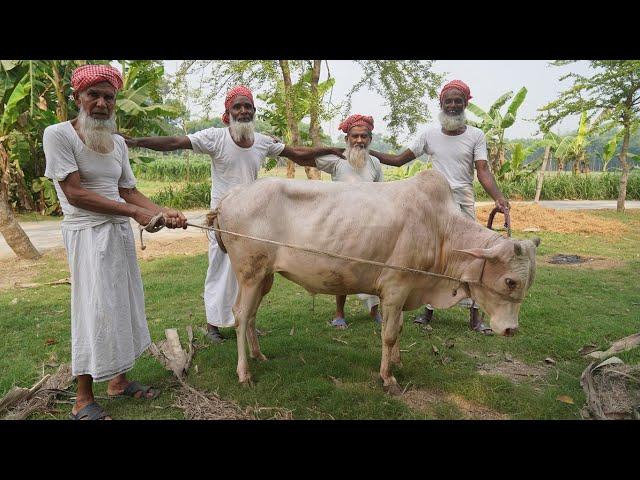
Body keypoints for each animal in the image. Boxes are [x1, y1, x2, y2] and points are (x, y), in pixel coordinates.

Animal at [208, 170, 536, 394]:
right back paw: (244, 373)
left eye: (528, 282)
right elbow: (389, 333)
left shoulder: (405, 292)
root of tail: (232, 195)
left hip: (264, 277)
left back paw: (258, 355)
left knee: (251, 314)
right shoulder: (395, 287)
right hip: (249, 273)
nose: (511, 329)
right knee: (240, 315)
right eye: (510, 281)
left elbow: (399, 328)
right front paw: (388, 377)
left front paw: (397, 362)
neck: (440, 228)